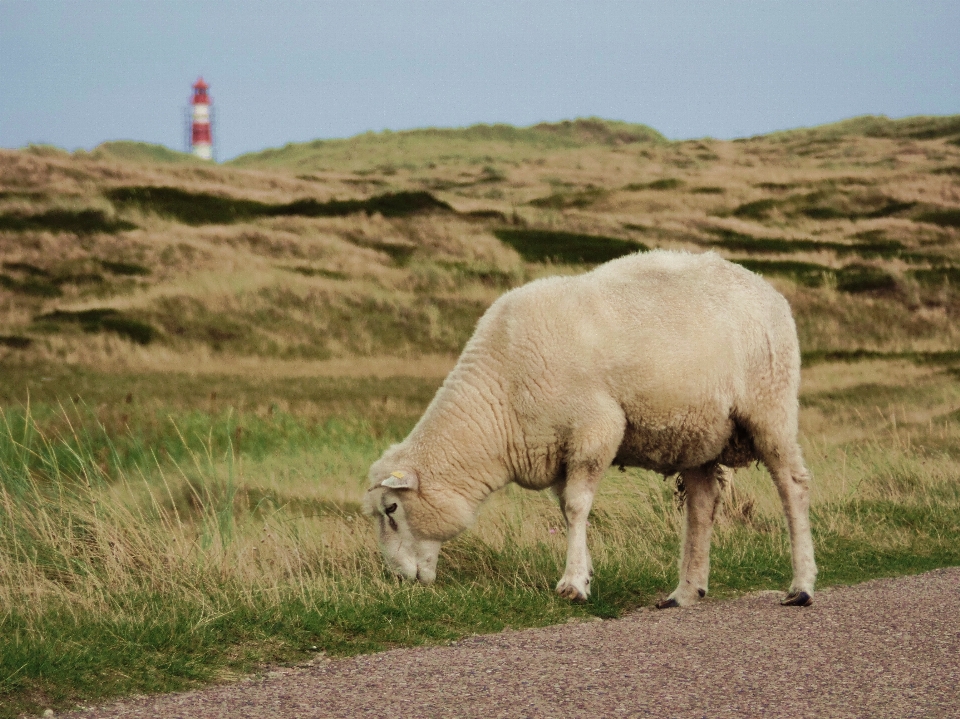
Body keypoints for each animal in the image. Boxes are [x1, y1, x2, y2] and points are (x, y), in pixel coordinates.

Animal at [364, 249, 812, 608]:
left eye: (391, 509)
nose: (398, 579)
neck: (499, 397)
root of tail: (764, 286)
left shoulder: (595, 429)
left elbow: (577, 506)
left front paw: (573, 584)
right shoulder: (558, 449)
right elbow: (566, 509)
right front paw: (585, 572)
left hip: (770, 406)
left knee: (792, 486)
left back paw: (801, 586)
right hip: (697, 433)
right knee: (702, 507)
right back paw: (685, 592)